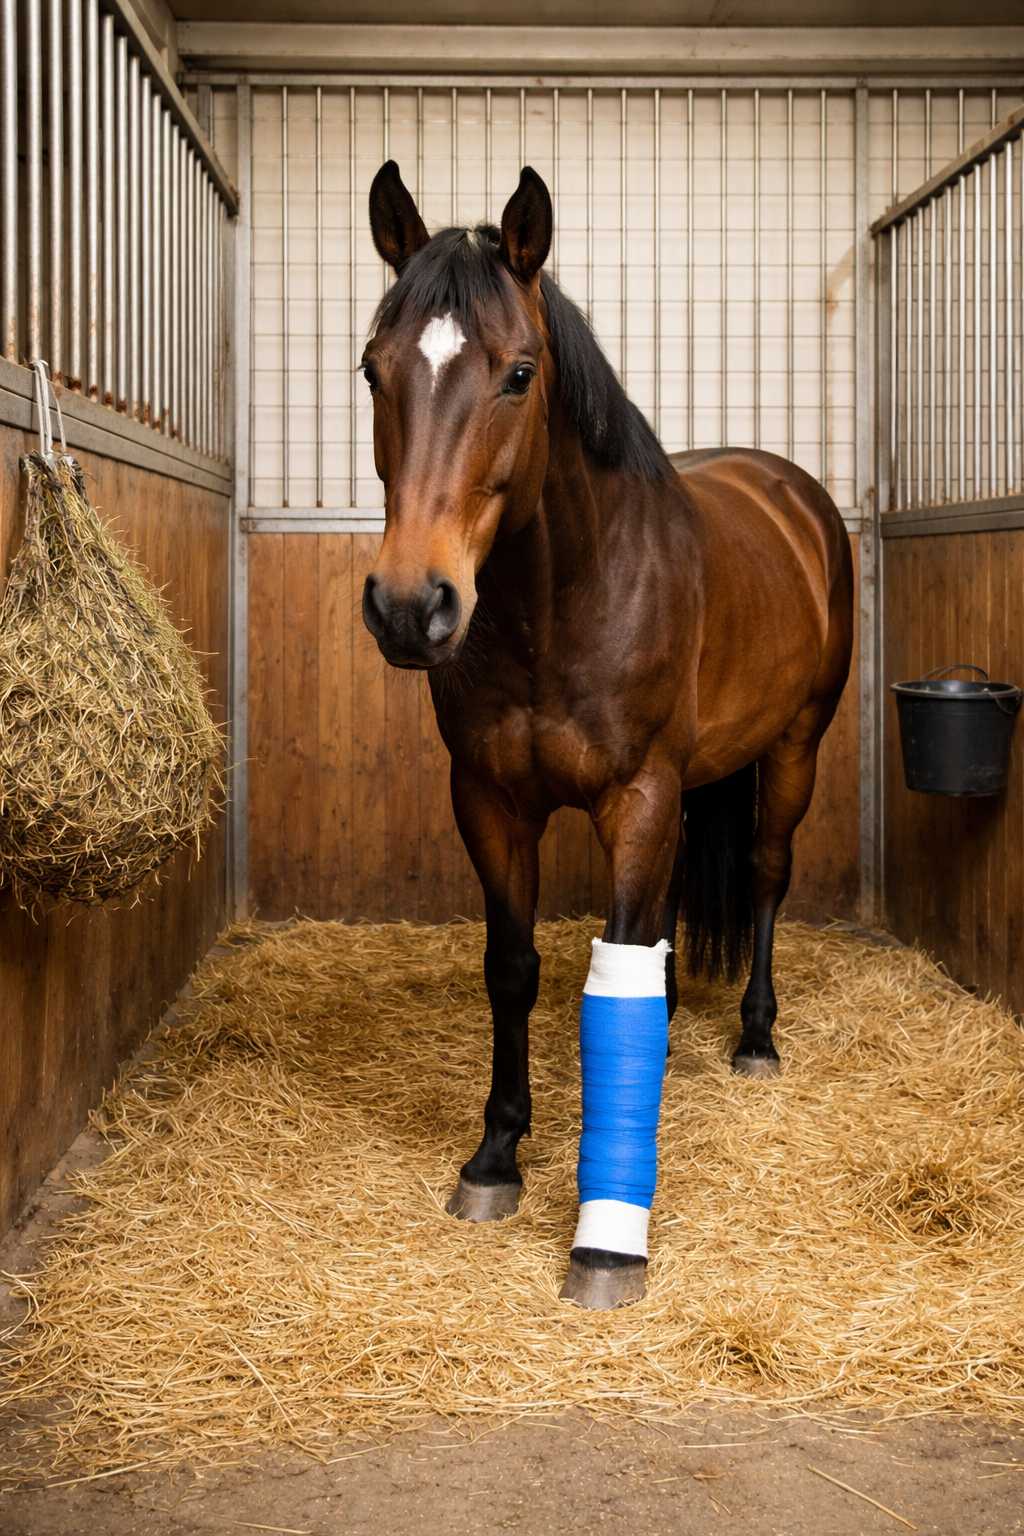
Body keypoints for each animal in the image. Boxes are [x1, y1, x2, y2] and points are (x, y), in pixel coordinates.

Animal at [361, 160, 853, 1309]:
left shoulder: (637, 795)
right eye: (371, 369)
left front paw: (604, 1238)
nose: (410, 607)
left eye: (518, 373)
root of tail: (789, 491)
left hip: (792, 750)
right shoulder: (490, 800)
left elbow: (614, 975)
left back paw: (754, 1037)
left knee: (764, 876)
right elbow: (514, 966)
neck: (561, 601)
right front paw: (497, 1156)